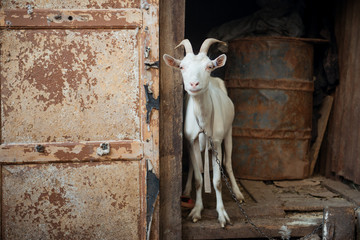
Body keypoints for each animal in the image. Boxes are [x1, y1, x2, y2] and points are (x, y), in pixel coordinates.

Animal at [163, 38, 245, 227]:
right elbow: (199, 179)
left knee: (228, 163)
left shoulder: (216, 142)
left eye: (209, 66)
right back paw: (186, 190)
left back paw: (238, 193)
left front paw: (222, 214)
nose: (194, 84)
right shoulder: (191, 141)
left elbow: (217, 181)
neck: (203, 121)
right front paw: (196, 210)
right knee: (194, 168)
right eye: (182, 67)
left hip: (229, 132)